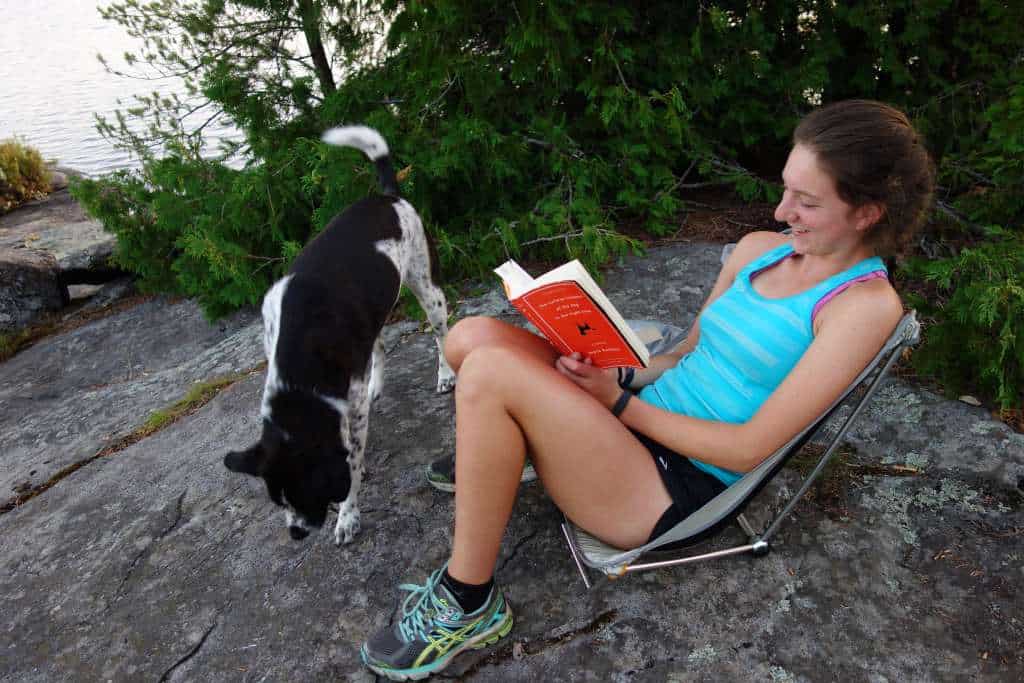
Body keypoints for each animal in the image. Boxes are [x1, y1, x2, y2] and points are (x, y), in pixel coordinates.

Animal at [226, 126, 454, 544]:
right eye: (277, 501)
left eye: (306, 493)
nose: (296, 535)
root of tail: (387, 196)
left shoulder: (352, 408)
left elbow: (352, 459)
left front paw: (348, 514)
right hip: (375, 311)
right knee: (379, 346)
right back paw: (379, 383)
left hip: (428, 289)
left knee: (441, 335)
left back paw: (446, 375)